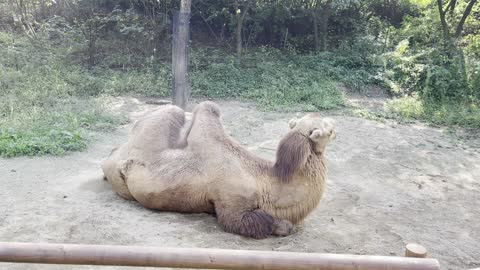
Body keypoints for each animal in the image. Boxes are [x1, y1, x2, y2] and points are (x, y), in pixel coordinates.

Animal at [101, 101, 336, 238]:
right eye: (329, 130)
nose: (335, 124)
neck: (266, 182)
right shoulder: (233, 205)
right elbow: (260, 223)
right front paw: (280, 225)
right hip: (122, 177)